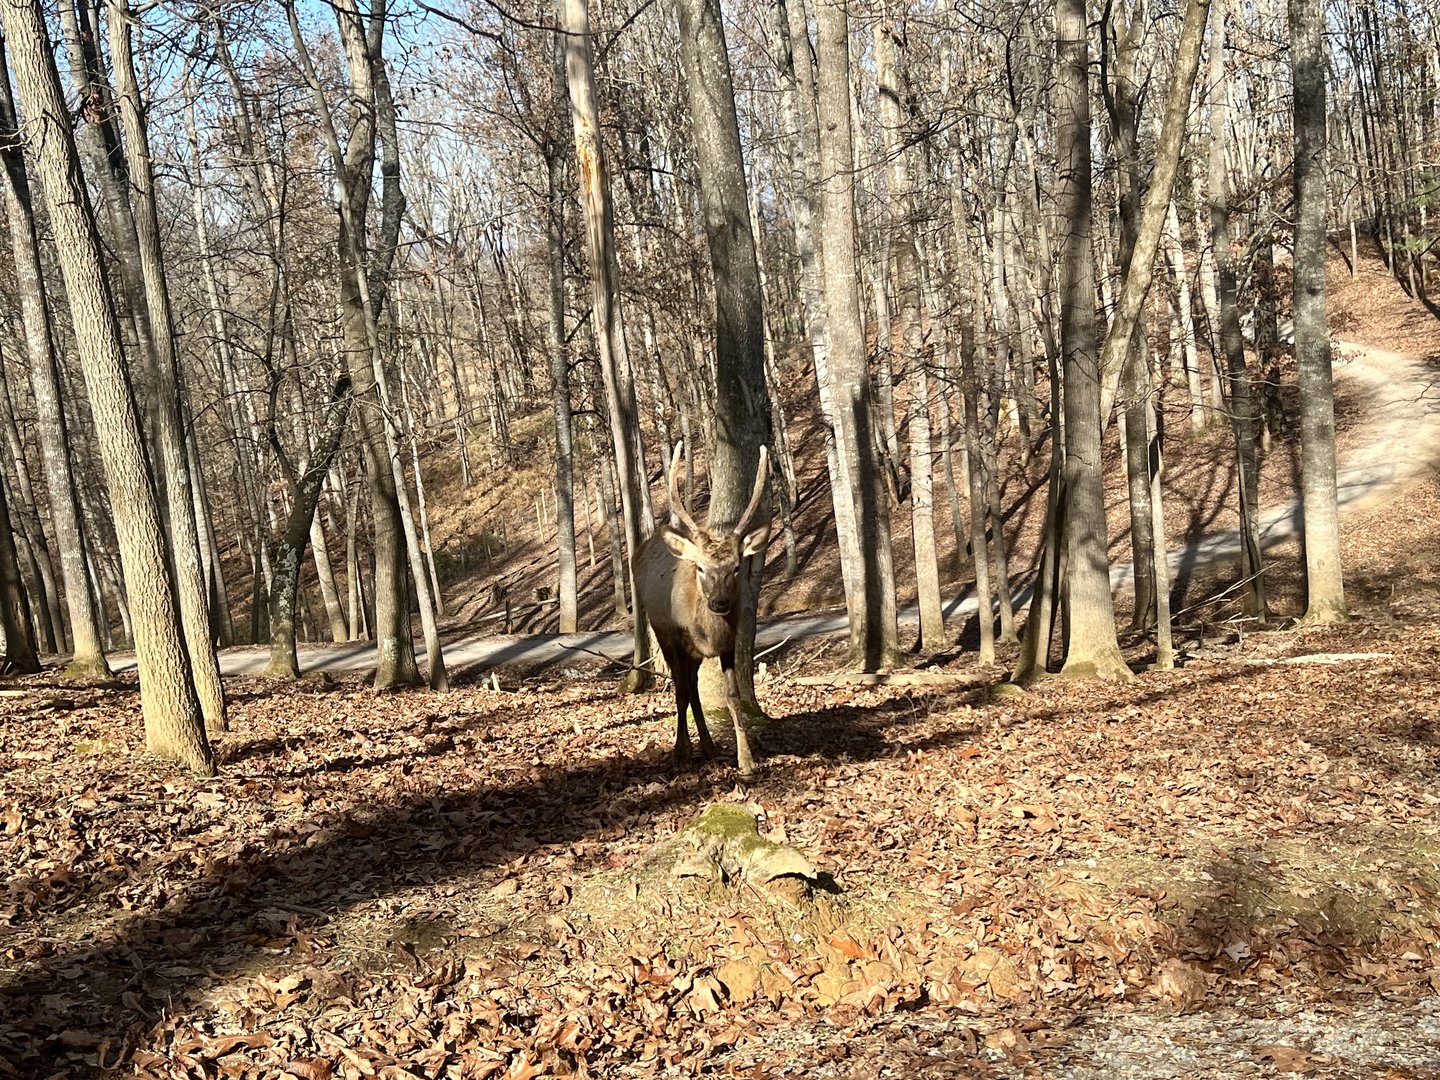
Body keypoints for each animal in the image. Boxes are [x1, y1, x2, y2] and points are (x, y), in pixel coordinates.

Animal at [632, 443, 772, 776]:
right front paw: (680, 754)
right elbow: (680, 691)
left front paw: (746, 760)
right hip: (661, 631)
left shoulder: (728, 641)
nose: (720, 602)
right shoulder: (674, 636)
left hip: (693, 654)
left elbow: (732, 695)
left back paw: (708, 746)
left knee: (694, 686)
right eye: (700, 568)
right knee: (684, 686)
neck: (706, 632)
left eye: (736, 567)